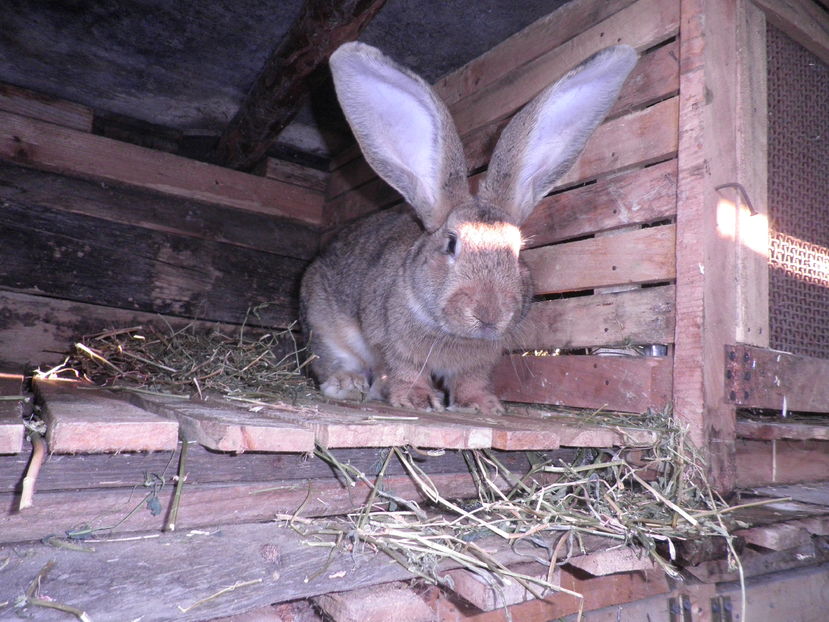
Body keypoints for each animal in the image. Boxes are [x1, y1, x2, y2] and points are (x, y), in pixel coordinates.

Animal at [300, 41, 636, 416]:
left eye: (518, 251)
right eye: (451, 243)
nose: (490, 315)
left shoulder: (478, 363)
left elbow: (470, 380)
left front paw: (482, 406)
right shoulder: (391, 345)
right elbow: (405, 370)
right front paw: (418, 401)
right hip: (322, 321)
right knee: (329, 359)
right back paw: (348, 385)